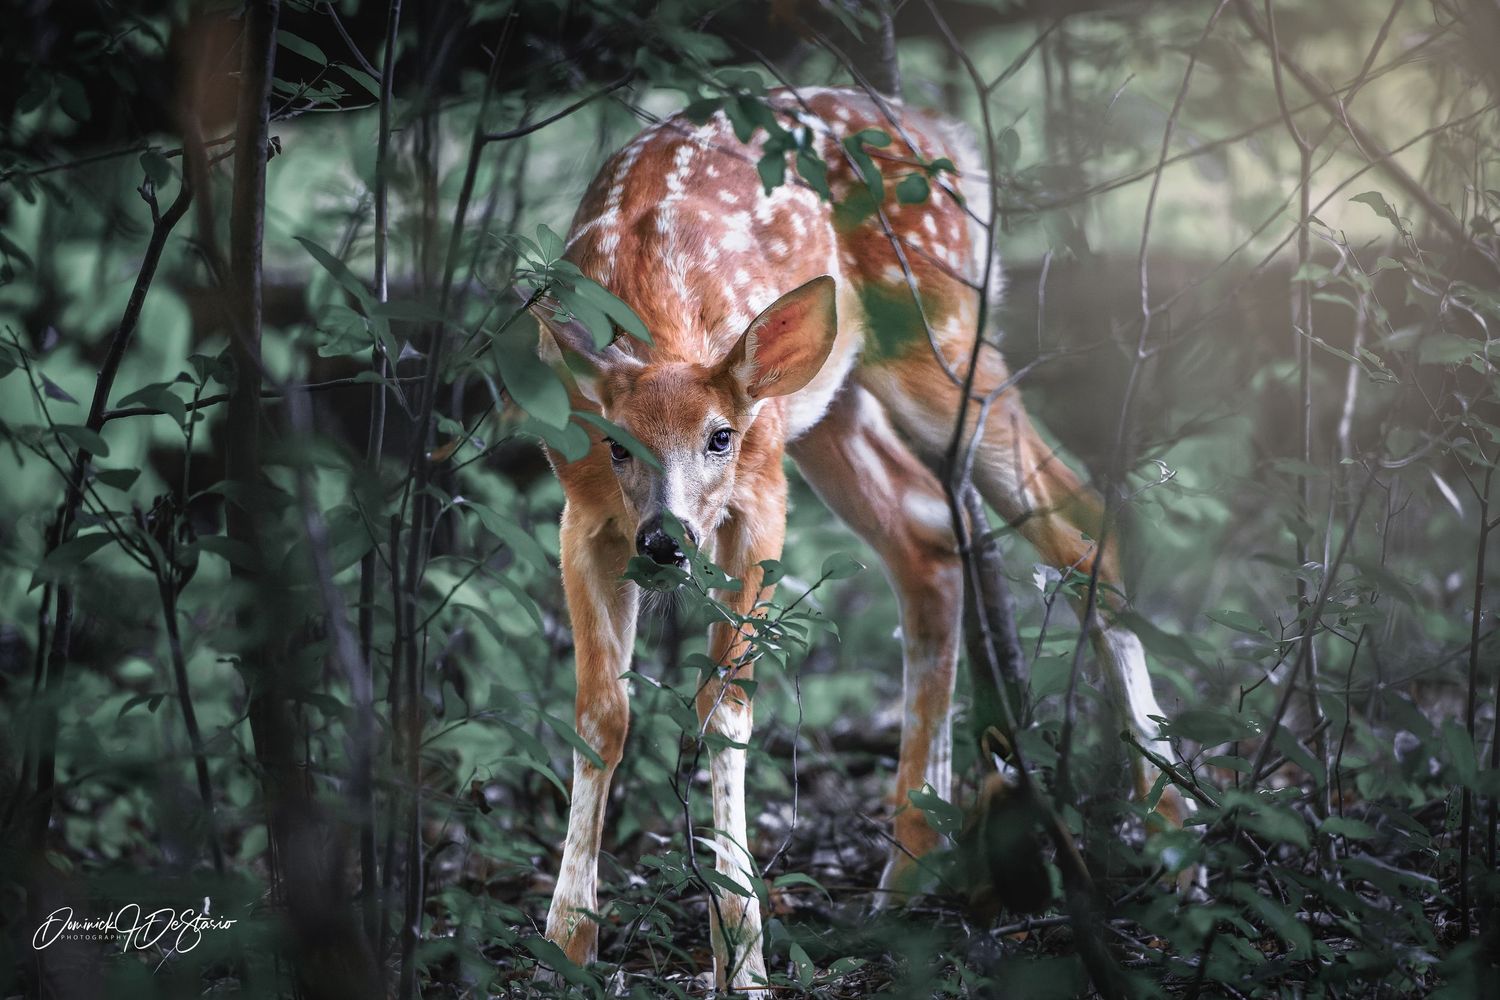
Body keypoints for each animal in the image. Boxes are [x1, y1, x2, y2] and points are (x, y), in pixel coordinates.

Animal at [525, 85, 1188, 991]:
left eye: (720, 436)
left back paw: (1175, 836)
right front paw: (566, 945)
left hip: (937, 339)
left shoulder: (760, 494)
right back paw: (908, 871)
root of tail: (938, 128)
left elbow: (726, 702)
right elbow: (600, 715)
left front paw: (744, 961)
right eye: (617, 444)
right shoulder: (581, 512)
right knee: (928, 537)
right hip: (832, 406)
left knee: (1081, 519)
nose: (665, 541)